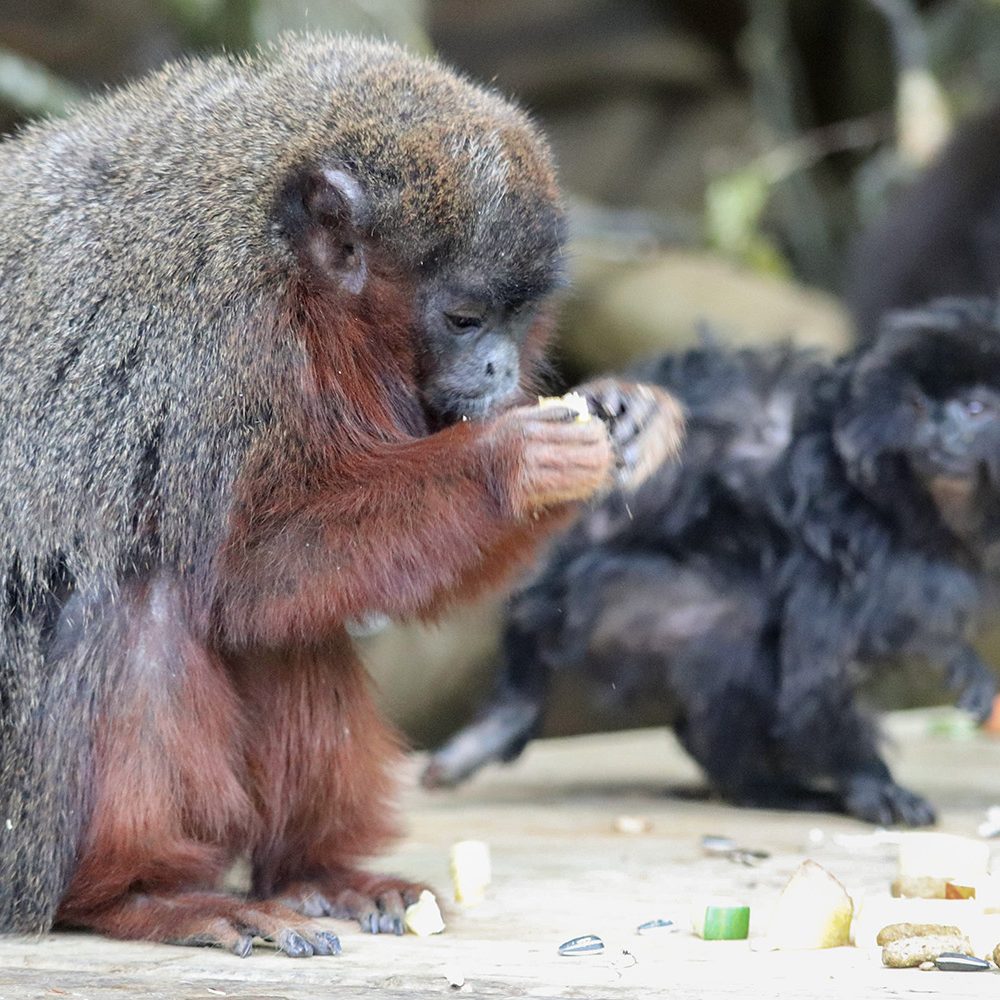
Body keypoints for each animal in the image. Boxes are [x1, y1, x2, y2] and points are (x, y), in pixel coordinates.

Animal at [0, 35, 680, 956]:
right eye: (464, 319)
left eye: (516, 319)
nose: (502, 368)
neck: (297, 280)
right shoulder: (226, 347)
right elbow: (248, 569)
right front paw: (511, 462)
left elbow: (283, 594)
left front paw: (628, 421)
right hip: (23, 830)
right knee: (144, 593)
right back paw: (146, 893)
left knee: (286, 627)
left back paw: (315, 874)